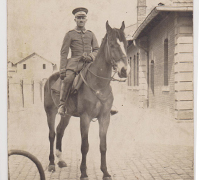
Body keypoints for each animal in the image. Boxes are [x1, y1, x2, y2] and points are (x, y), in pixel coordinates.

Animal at [44, 21, 129, 180]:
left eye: (126, 43)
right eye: (112, 45)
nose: (124, 70)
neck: (98, 84)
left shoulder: (105, 117)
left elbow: (103, 146)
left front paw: (105, 172)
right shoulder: (85, 118)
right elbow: (85, 146)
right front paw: (83, 173)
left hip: (66, 114)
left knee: (60, 130)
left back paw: (60, 160)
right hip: (50, 112)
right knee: (52, 134)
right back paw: (52, 163)